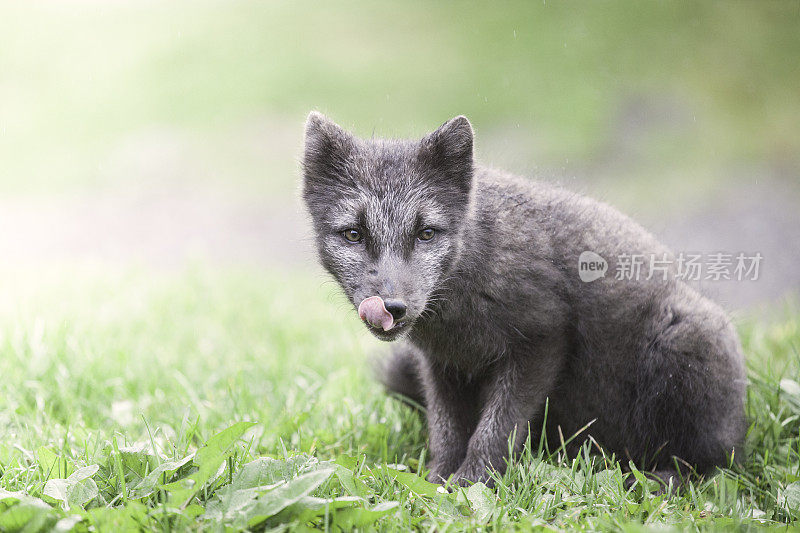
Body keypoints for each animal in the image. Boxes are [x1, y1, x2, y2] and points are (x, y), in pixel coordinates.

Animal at [304, 111, 748, 486]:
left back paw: (661, 479)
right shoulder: (440, 364)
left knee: (710, 464)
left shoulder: (542, 340)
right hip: (400, 370)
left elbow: (496, 429)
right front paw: (437, 482)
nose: (392, 308)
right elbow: (447, 431)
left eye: (426, 233)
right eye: (353, 234)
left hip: (686, 343)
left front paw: (472, 483)